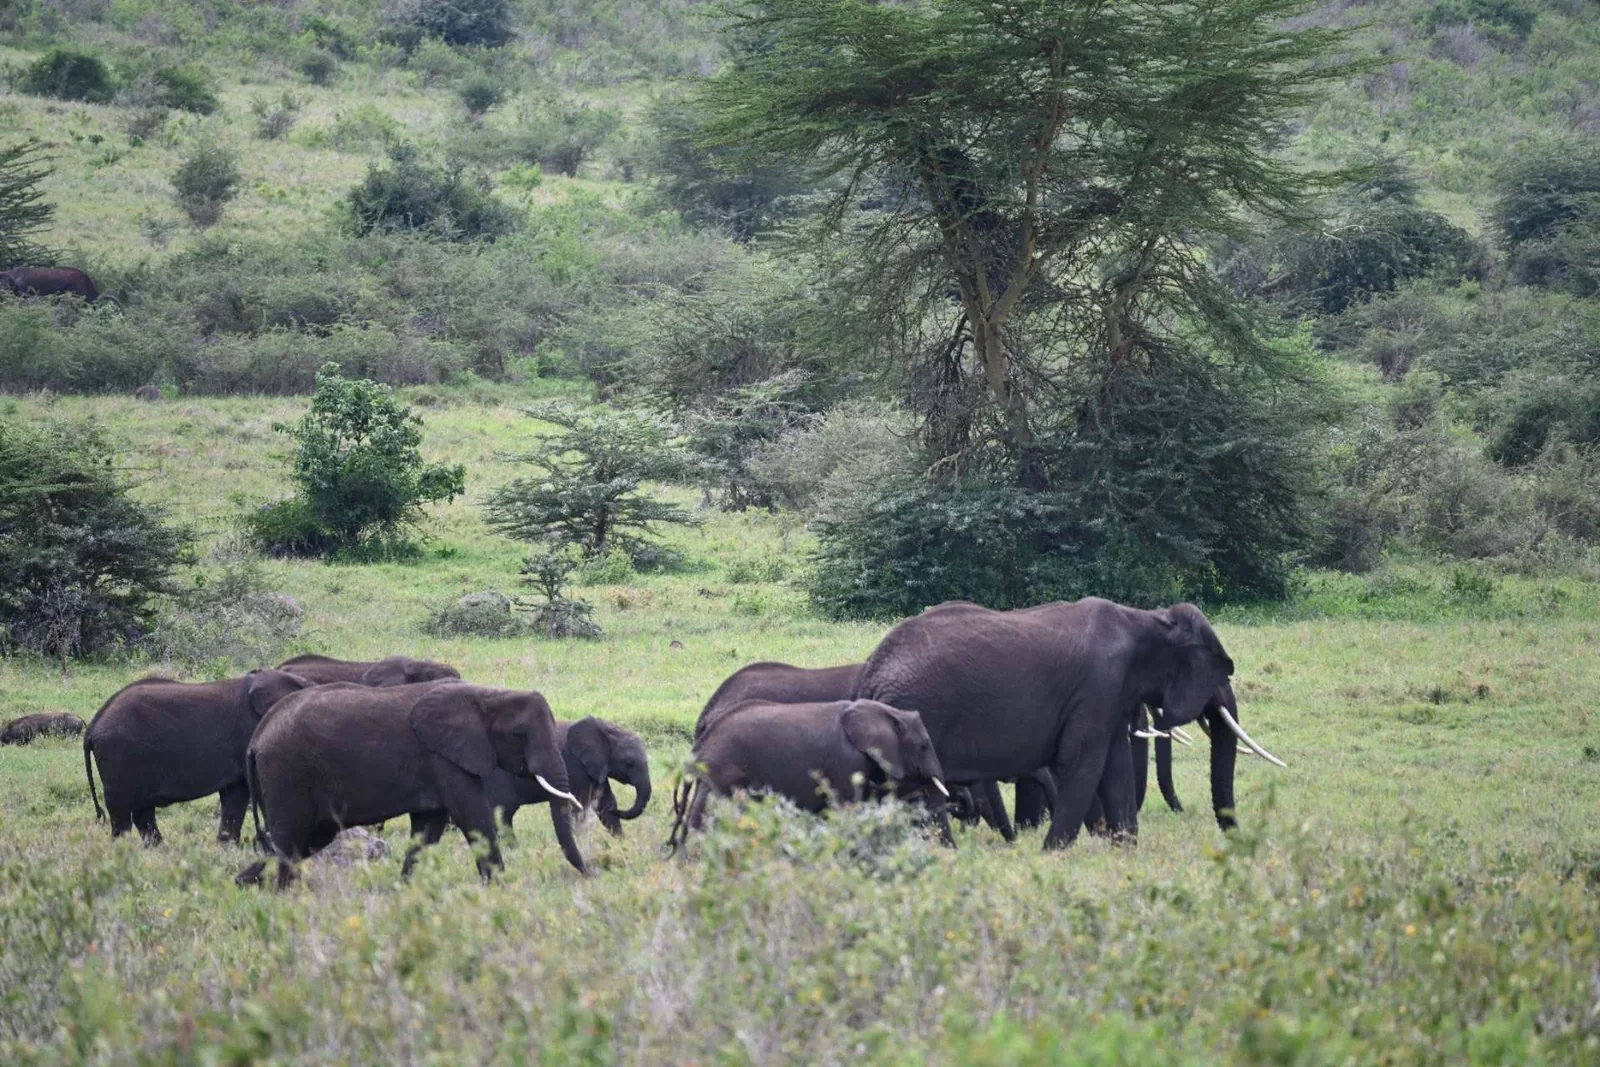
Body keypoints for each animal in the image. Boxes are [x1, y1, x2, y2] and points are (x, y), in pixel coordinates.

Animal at [83, 670, 314, 845]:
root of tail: (93, 725)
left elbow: (235, 796)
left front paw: (227, 847)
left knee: (142, 811)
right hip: (118, 756)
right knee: (122, 814)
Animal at [237, 681, 587, 889]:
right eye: (519, 735)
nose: (589, 874)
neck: (487, 694)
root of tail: (256, 738)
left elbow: (428, 828)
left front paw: (405, 889)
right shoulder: (443, 758)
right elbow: (472, 815)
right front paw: (500, 889)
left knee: (299, 842)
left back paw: (244, 882)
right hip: (286, 772)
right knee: (289, 840)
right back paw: (285, 895)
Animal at [483, 717, 652, 836]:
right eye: (629, 763)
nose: (617, 810)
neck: (606, 730)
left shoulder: (595, 767)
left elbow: (604, 801)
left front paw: (621, 843)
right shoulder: (575, 766)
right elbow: (581, 805)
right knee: (502, 814)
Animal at [667, 699, 949, 850]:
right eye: (924, 746)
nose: (951, 854)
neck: (886, 711)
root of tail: (701, 743)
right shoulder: (846, 759)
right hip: (725, 769)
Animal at [852, 597, 1279, 851]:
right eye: (1219, 672)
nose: (1236, 841)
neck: (1147, 619)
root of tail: (868, 676)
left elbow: (1115, 768)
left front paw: (1123, 852)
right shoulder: (1098, 687)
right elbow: (1082, 764)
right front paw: (1052, 855)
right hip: (916, 710)